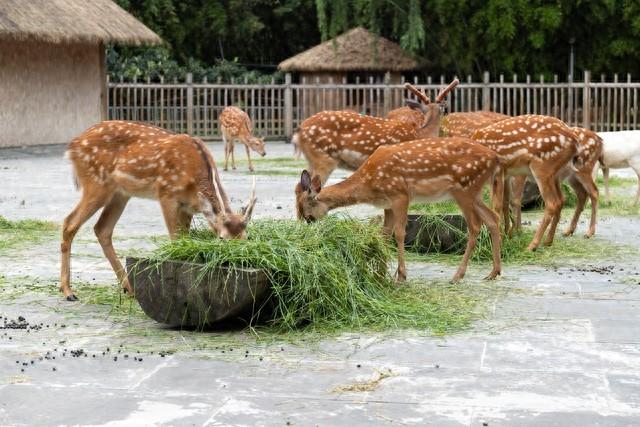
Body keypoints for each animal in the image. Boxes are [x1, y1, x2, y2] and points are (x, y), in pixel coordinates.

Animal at [60, 120, 258, 300]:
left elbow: (184, 239)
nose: (237, 261)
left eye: (246, 238)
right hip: (96, 183)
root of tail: (73, 145)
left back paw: (129, 288)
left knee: (102, 229)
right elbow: (175, 239)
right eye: (222, 238)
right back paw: (68, 291)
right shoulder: (167, 194)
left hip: (120, 193)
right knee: (70, 222)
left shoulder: (188, 207)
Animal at [296, 78, 460, 217]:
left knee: (300, 186)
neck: (421, 133)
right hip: (323, 159)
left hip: (313, 159)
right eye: (444, 109)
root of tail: (299, 131)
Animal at [298, 138, 502, 284]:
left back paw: (458, 276)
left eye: (307, 214)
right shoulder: (387, 204)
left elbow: (399, 233)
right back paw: (494, 272)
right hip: (474, 192)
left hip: (464, 188)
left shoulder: (400, 195)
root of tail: (495, 158)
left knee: (475, 225)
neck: (369, 184)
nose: (307, 226)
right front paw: (380, 275)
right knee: (493, 217)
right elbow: (384, 235)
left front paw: (401, 276)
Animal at [470, 114, 580, 251]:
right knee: (561, 200)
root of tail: (575, 140)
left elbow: (496, 205)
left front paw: (499, 240)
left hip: (542, 166)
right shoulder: (506, 173)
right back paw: (547, 241)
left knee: (552, 203)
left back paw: (532, 245)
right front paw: (507, 234)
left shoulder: (497, 171)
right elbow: (505, 202)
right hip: (555, 174)